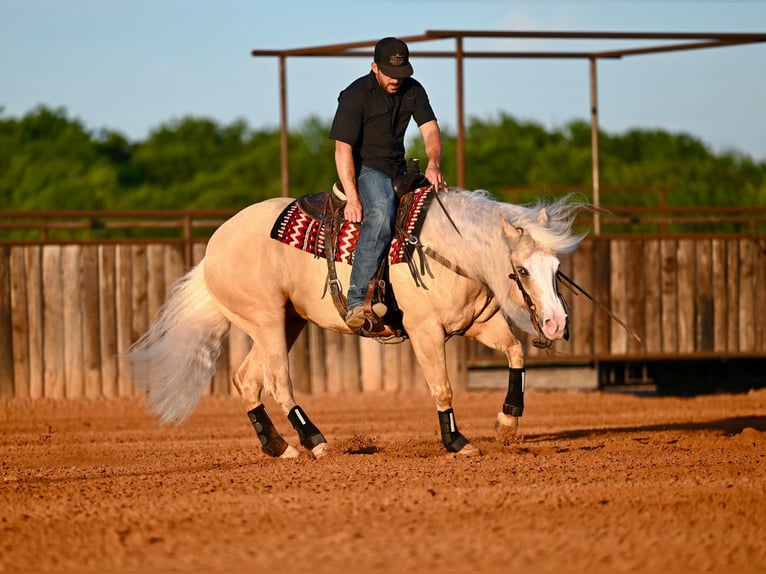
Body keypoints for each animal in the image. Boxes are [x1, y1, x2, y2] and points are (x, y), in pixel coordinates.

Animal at [127, 187, 587, 458]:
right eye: (521, 270)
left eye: (555, 266)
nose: (555, 323)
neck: (447, 248)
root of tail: (213, 246)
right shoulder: (425, 332)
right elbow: (442, 386)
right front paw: (456, 441)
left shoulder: (476, 325)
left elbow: (515, 352)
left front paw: (507, 423)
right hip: (267, 320)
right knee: (277, 382)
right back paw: (314, 442)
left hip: (285, 322)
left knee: (246, 380)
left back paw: (279, 447)